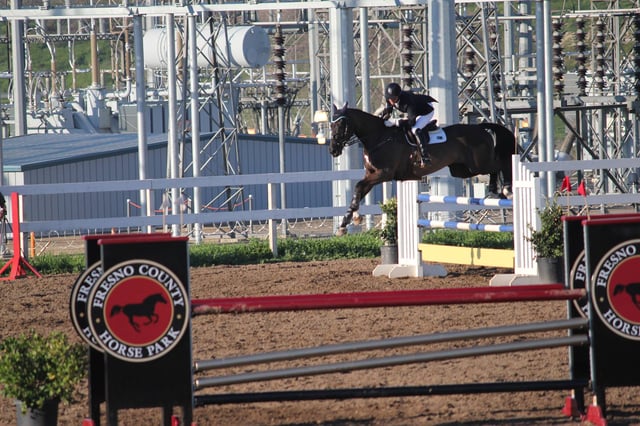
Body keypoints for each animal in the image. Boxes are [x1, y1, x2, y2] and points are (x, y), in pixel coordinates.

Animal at [329, 103, 515, 236]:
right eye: (330, 125)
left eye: (341, 124)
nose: (333, 150)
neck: (379, 137)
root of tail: (480, 128)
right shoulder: (372, 174)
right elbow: (358, 191)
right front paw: (346, 222)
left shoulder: (384, 174)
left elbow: (358, 186)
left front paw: (351, 220)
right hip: (463, 169)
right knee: (493, 168)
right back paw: (496, 189)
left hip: (477, 164)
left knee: (500, 164)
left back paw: (506, 190)